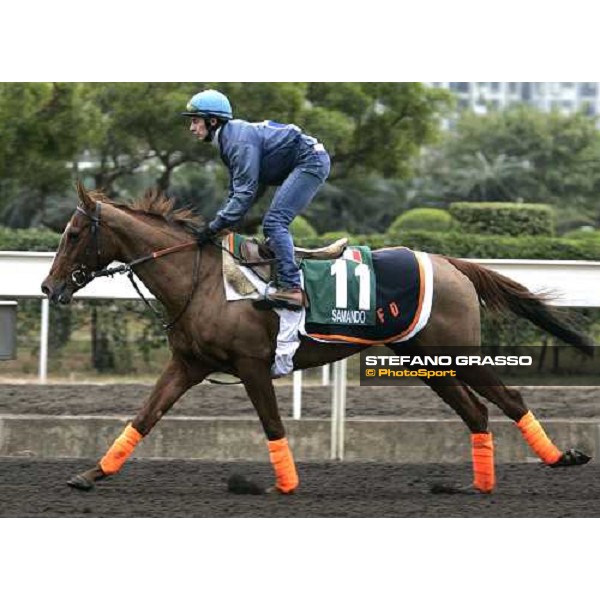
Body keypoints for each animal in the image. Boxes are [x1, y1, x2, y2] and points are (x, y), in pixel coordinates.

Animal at [41, 184, 592, 496]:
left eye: (73, 235)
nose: (48, 287)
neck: (203, 280)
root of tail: (450, 262)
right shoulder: (188, 364)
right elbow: (144, 417)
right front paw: (90, 474)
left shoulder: (251, 364)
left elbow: (272, 425)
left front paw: (285, 486)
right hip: (425, 359)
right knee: (475, 412)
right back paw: (477, 485)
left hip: (455, 352)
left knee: (509, 397)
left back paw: (561, 458)